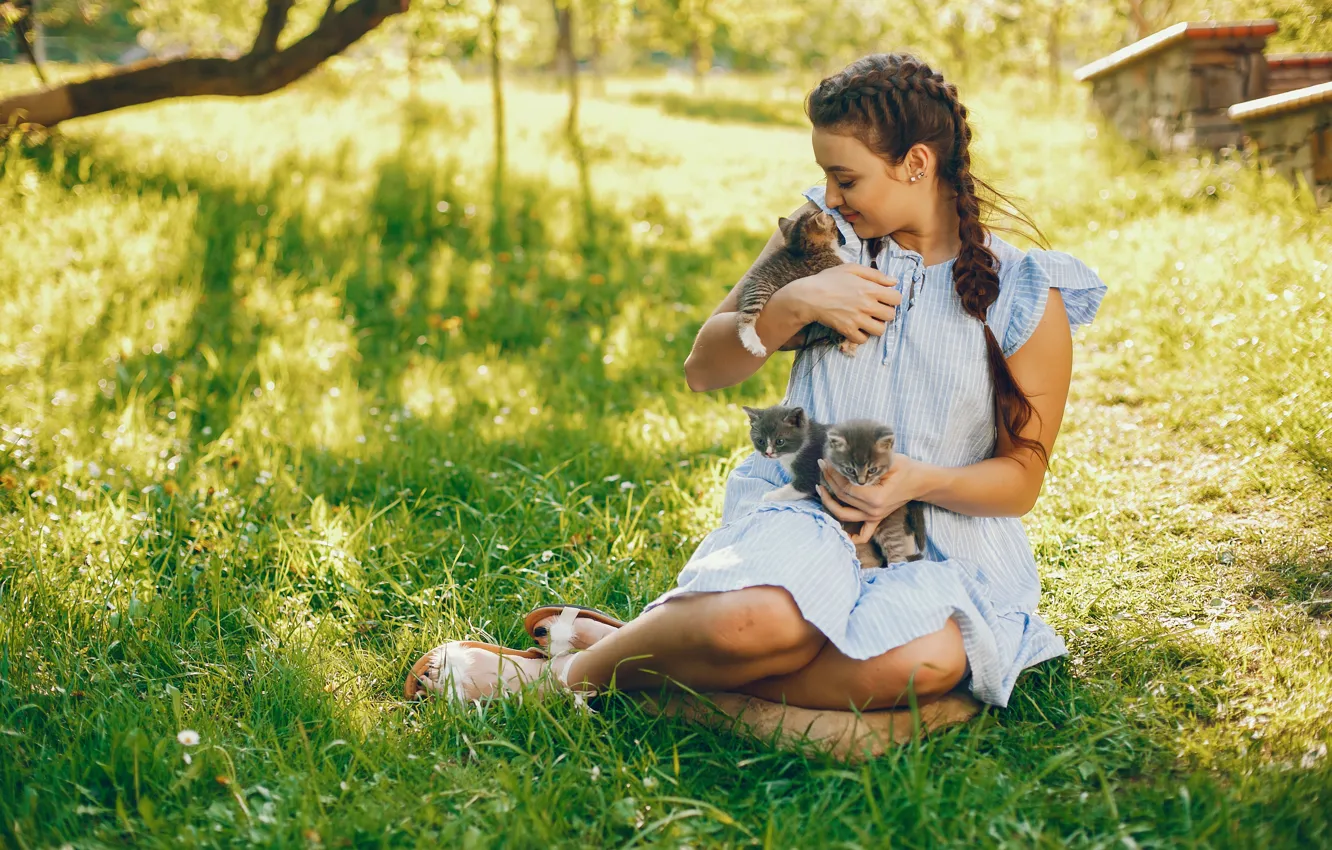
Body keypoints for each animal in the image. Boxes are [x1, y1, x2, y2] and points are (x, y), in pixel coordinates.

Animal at [735, 211, 847, 362]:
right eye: (835, 226)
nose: (844, 239)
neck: (809, 250)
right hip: (760, 290)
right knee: (744, 318)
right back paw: (754, 344)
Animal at [756, 410, 932, 570]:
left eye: (780, 441)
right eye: (760, 441)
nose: (768, 453)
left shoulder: (811, 473)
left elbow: (795, 488)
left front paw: (770, 495)